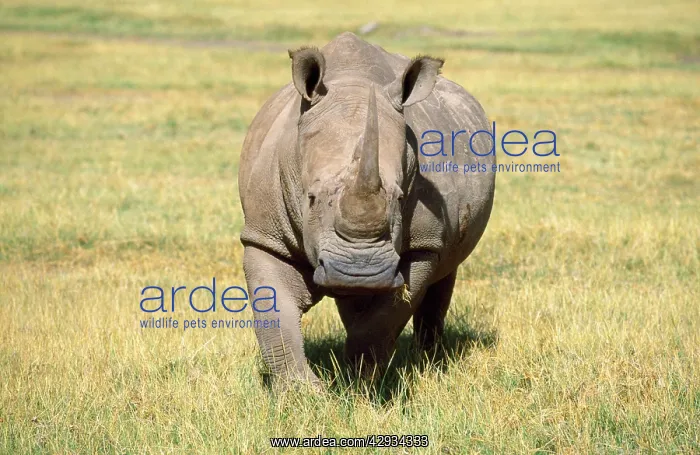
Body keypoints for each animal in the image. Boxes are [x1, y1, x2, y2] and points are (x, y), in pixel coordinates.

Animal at [238, 32, 495, 389]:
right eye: (311, 197)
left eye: (400, 199)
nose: (360, 273)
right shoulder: (264, 235)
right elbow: (273, 313)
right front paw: (303, 393)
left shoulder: (422, 245)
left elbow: (385, 318)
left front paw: (358, 382)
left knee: (445, 271)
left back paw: (427, 360)